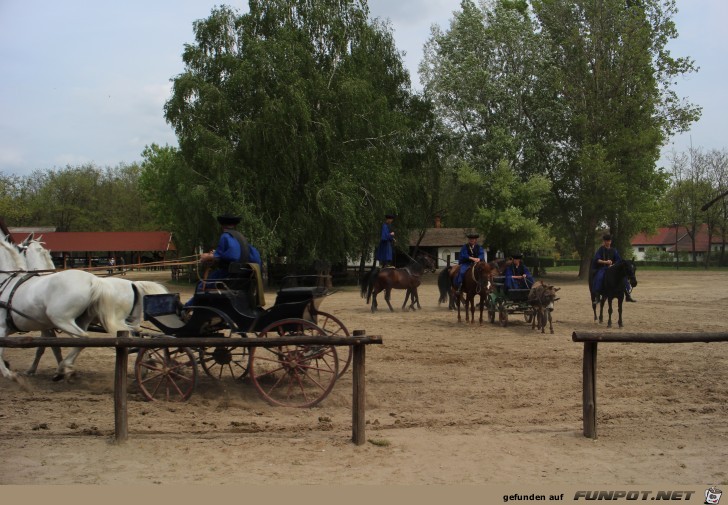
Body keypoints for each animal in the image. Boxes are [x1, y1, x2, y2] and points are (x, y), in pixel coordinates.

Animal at [17, 236, 168, 378]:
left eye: (20, 248)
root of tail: (133, 284)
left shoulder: (46, 326)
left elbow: (45, 348)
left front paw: (37, 369)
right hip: (132, 321)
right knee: (138, 340)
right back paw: (147, 364)